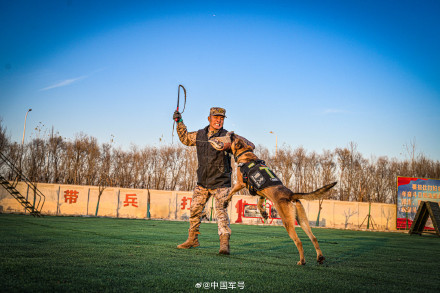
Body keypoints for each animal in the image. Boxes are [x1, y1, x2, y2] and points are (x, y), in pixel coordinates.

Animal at [210, 132, 336, 264]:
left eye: (233, 138)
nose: (232, 132)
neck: (245, 153)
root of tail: (291, 195)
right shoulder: (261, 192)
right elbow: (259, 203)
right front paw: (264, 213)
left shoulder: (240, 183)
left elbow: (231, 192)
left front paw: (225, 201)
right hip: (302, 221)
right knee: (314, 238)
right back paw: (320, 257)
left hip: (287, 222)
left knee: (299, 241)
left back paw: (302, 261)